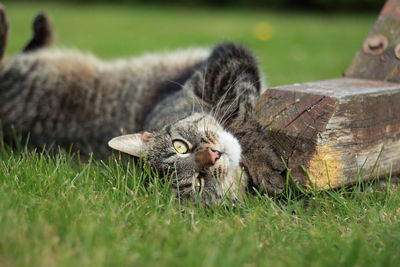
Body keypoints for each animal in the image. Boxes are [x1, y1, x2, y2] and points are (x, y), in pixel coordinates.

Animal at [0, 6, 288, 203]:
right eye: (198, 181)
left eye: (180, 145)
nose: (213, 155)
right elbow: (240, 117)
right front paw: (266, 168)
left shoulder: (224, 63)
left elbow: (237, 113)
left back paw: (41, 24)